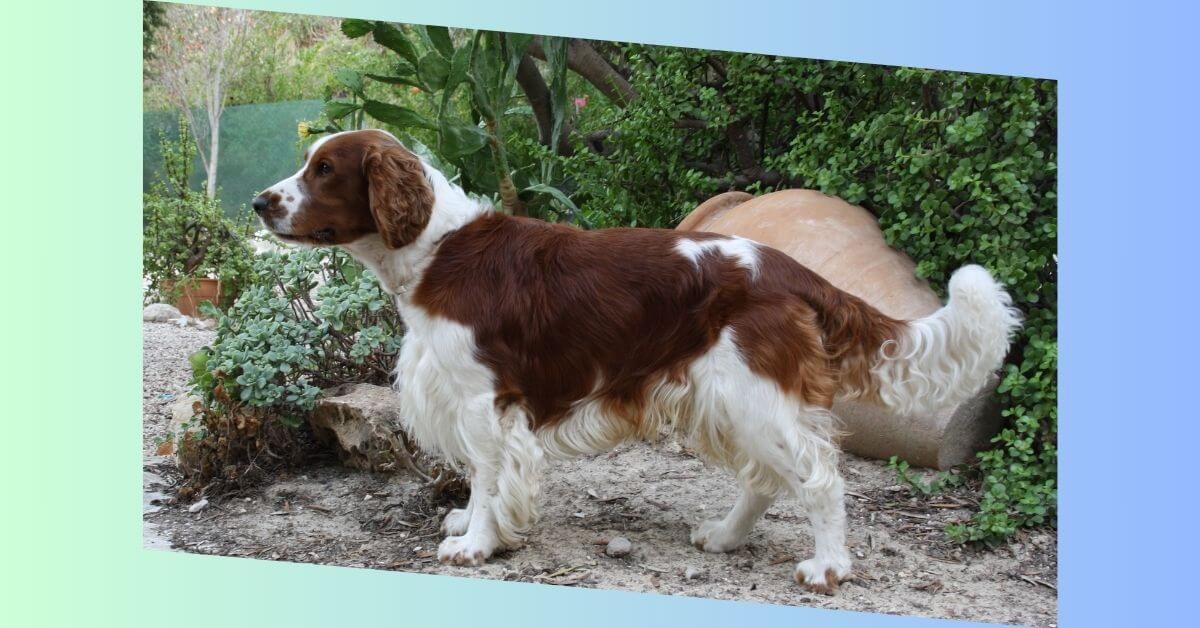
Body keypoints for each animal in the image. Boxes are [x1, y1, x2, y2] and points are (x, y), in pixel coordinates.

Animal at [255, 129, 1022, 595]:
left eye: (324, 170)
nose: (261, 202)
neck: (438, 250)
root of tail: (790, 268)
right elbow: (481, 477)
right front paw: (474, 524)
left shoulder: (482, 399)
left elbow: (488, 475)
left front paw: (474, 543)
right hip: (728, 399)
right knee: (767, 480)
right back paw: (724, 537)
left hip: (751, 394)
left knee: (819, 479)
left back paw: (828, 567)